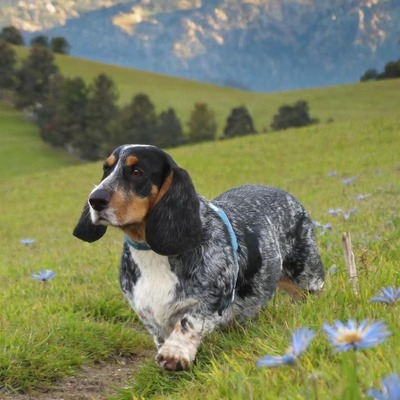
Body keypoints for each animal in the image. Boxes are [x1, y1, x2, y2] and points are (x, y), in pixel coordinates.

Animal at [74, 145, 324, 372]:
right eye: (106, 169)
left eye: (137, 172)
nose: (95, 200)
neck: (151, 251)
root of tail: (286, 195)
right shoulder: (145, 310)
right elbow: (159, 333)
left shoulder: (212, 299)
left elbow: (188, 322)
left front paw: (174, 354)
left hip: (306, 274)